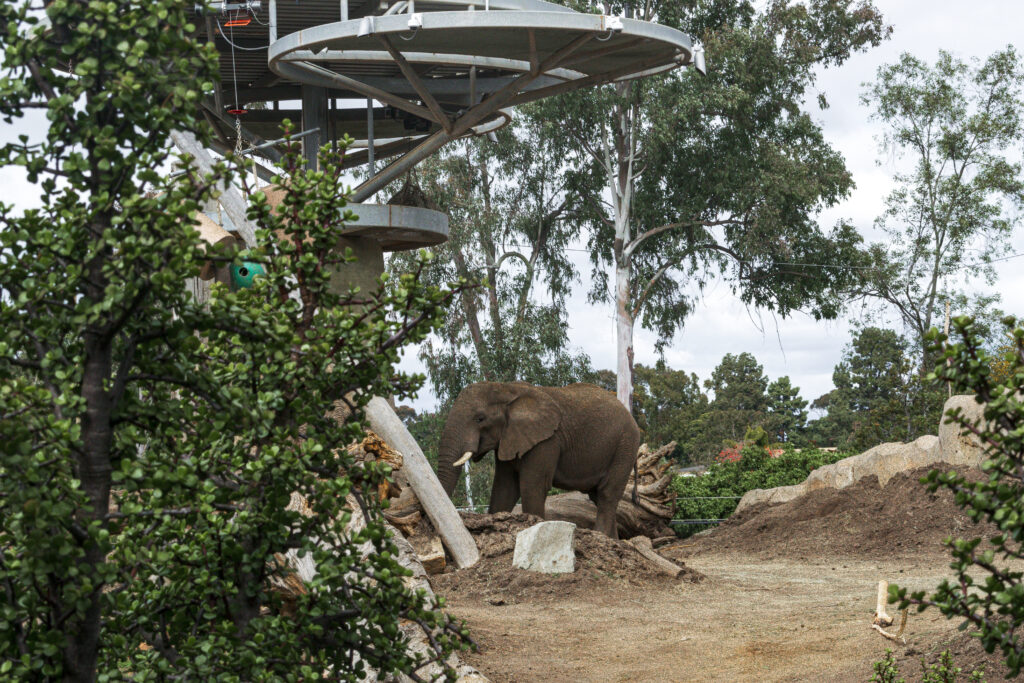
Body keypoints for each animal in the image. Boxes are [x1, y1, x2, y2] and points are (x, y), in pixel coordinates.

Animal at [434, 382, 638, 536]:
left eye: (480, 419)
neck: (507, 388)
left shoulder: (546, 442)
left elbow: (532, 486)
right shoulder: (510, 439)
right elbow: (505, 488)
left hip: (625, 446)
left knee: (606, 494)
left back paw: (602, 536)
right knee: (597, 497)